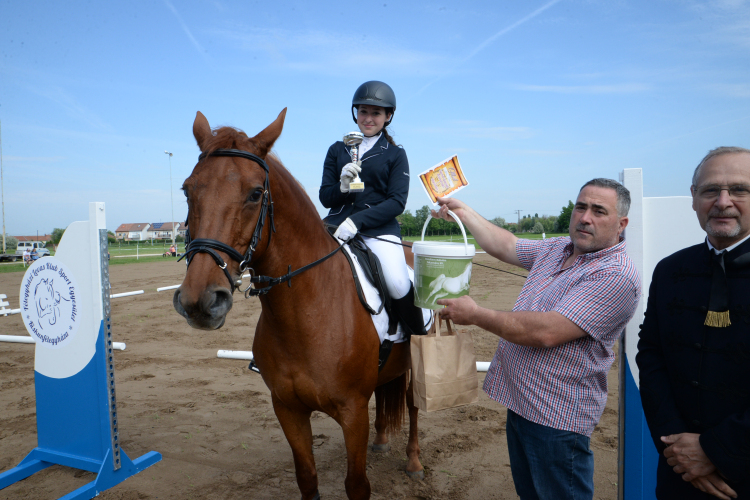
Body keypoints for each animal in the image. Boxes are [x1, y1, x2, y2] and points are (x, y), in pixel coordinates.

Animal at [173, 110, 426, 500]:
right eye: (188, 189)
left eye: (255, 193)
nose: (200, 300)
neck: (306, 313)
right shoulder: (288, 408)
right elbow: (307, 478)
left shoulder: (352, 412)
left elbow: (357, 484)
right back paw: (382, 440)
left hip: (416, 364)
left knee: (413, 408)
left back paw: (414, 462)